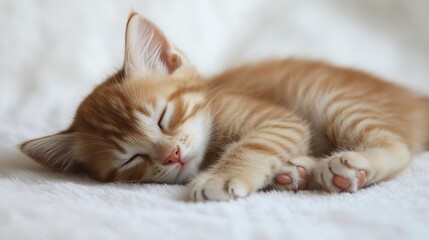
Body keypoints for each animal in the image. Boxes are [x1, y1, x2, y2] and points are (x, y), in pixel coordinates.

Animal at [20, 12, 428, 201]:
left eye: (164, 118)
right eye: (131, 159)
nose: (171, 155)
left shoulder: (280, 119)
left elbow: (254, 145)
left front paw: (221, 177)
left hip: (331, 98)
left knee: (398, 146)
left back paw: (349, 166)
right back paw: (296, 172)